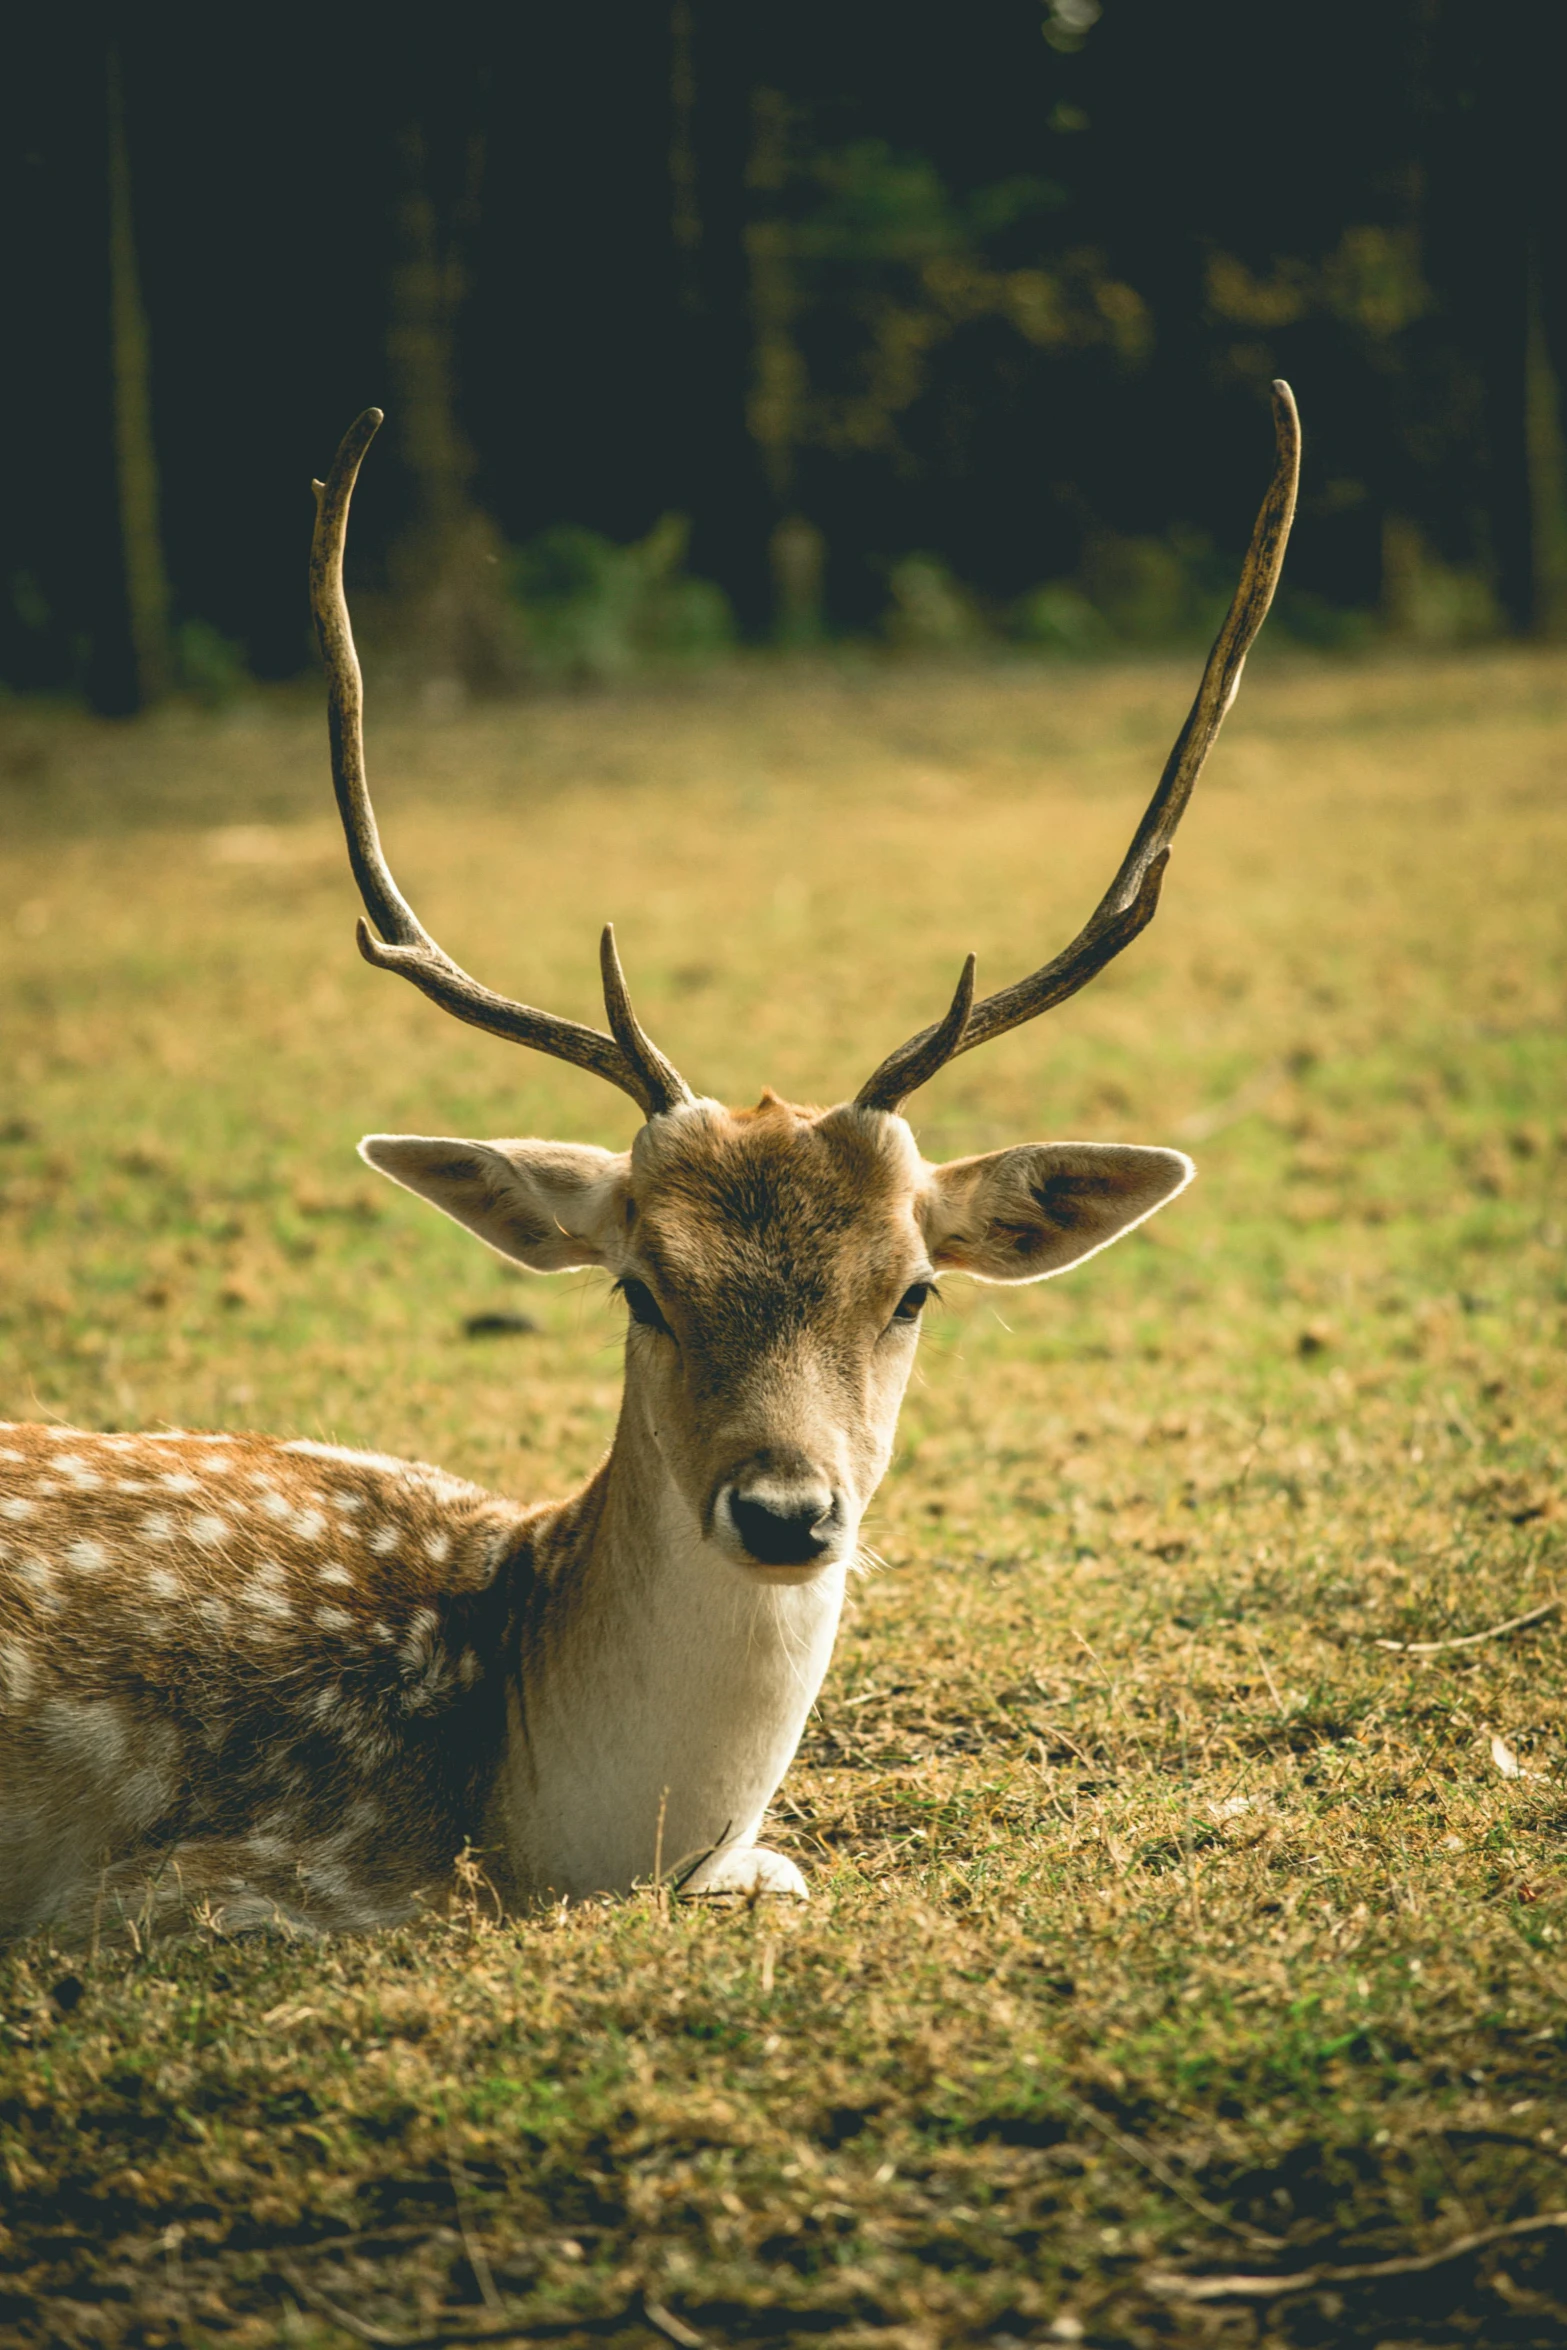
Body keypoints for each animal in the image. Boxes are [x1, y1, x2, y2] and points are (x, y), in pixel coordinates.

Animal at [0, 385, 1296, 1936]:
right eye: (640, 1286)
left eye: (912, 1290)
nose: (786, 1512)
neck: (562, 1822)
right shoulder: (208, 1878)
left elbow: (781, 1866)